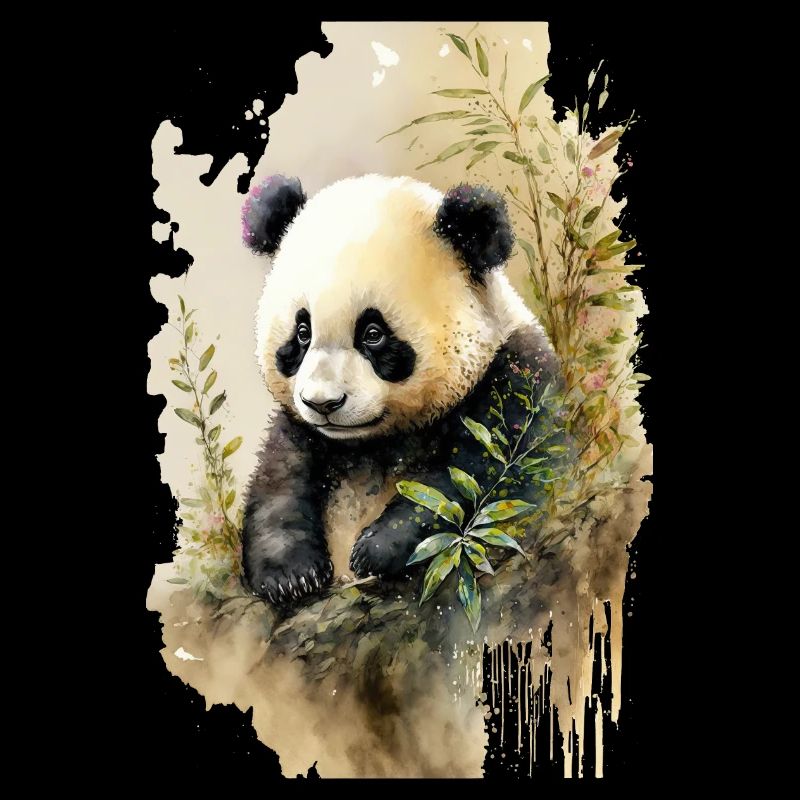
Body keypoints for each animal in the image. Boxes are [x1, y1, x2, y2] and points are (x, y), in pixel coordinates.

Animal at [241, 173, 560, 605]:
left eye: (373, 334)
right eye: (302, 332)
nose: (323, 403)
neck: (372, 443)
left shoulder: (514, 383)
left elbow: (477, 474)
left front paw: (377, 548)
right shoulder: (302, 431)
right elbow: (278, 483)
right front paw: (290, 575)